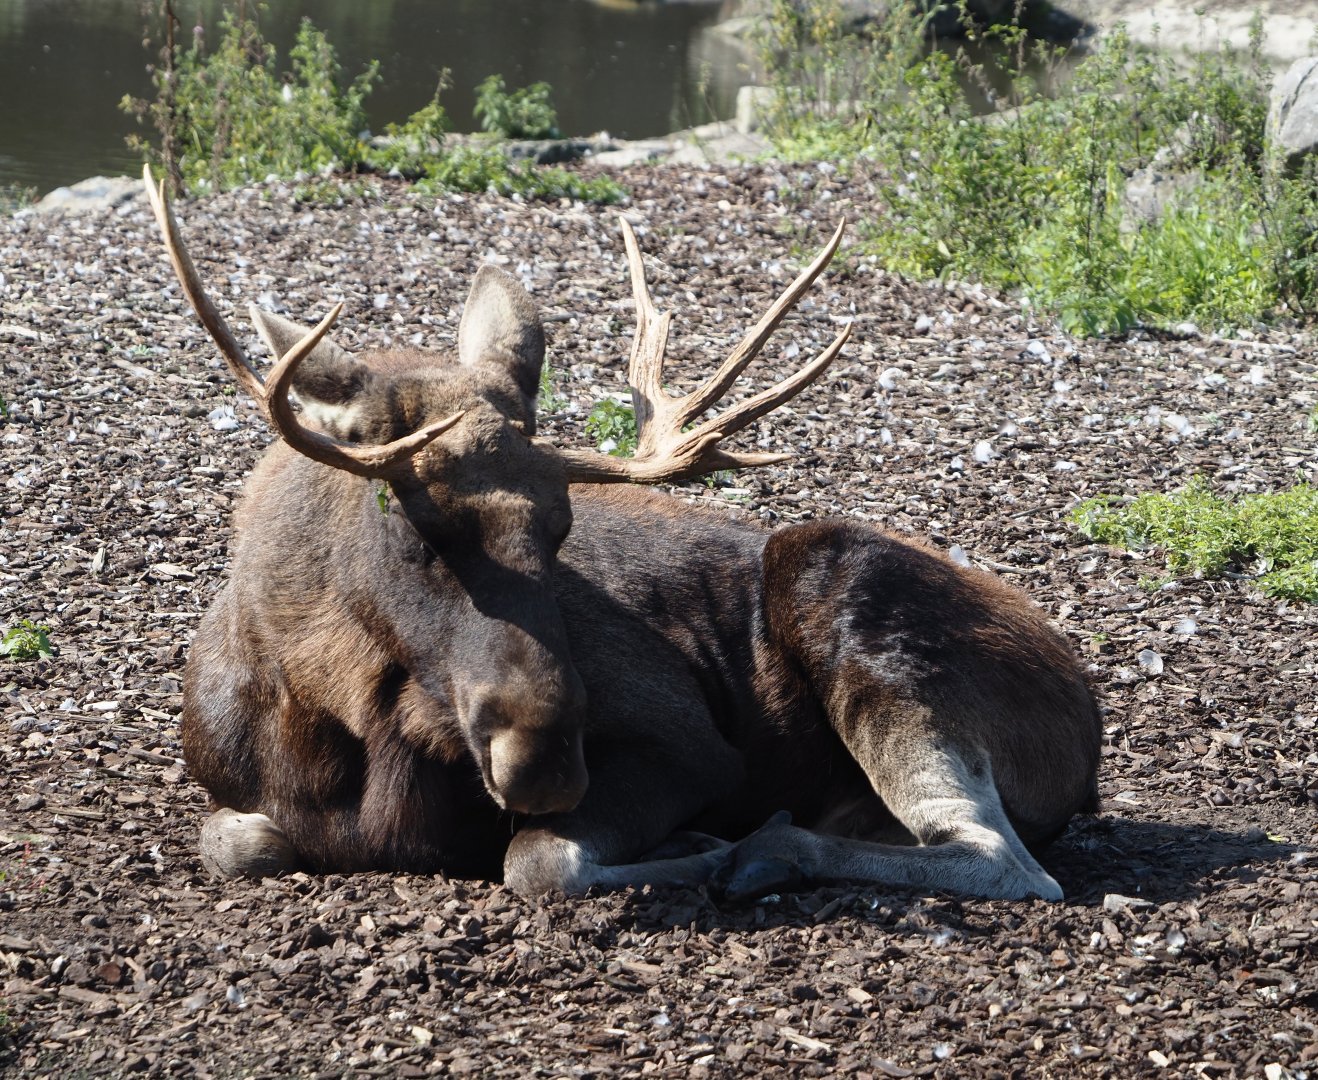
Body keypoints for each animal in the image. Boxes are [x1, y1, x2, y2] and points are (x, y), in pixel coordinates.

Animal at [143, 165, 1101, 903]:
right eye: (416, 528)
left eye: (562, 527)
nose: (545, 765)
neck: (325, 715)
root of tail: (1088, 734)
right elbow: (240, 842)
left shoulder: (688, 746)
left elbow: (539, 859)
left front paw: (698, 848)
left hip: (853, 598)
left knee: (1007, 860)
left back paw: (765, 850)